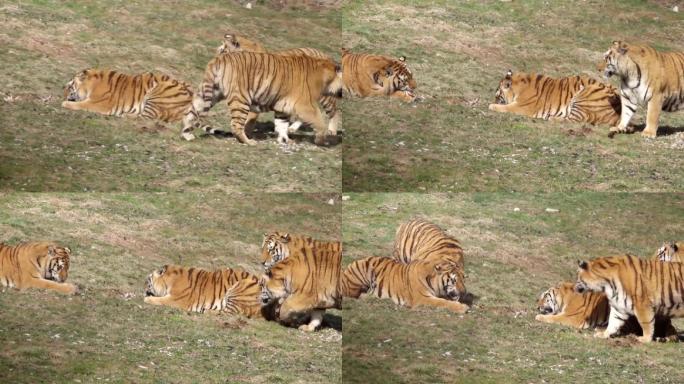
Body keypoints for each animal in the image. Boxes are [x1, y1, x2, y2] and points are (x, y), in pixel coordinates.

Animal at [61, 70, 199, 134]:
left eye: (69, 87)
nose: (63, 96)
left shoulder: (100, 103)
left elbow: (82, 104)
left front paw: (64, 103)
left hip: (157, 95)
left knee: (146, 118)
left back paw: (124, 115)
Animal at [142, 264, 270, 318]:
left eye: (148, 280)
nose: (143, 290)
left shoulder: (177, 299)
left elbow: (160, 300)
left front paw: (147, 298)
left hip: (239, 288)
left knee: (230, 313)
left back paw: (206, 311)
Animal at [183, 50, 342, 146]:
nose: (342, 92)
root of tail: (219, 59)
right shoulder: (305, 105)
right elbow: (319, 122)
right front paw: (321, 140)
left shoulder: (283, 106)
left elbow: (282, 124)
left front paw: (285, 140)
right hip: (241, 99)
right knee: (236, 125)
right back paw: (249, 142)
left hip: (209, 94)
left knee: (190, 113)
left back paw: (186, 135)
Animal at [340, 255, 468, 316]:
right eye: (454, 280)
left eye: (463, 278)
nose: (464, 292)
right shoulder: (422, 298)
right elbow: (442, 302)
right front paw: (463, 307)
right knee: (352, 294)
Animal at [488, 70, 624, 127]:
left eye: (497, 96)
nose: (494, 100)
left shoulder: (522, 107)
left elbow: (506, 107)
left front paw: (491, 105)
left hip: (583, 96)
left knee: (575, 120)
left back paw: (551, 117)